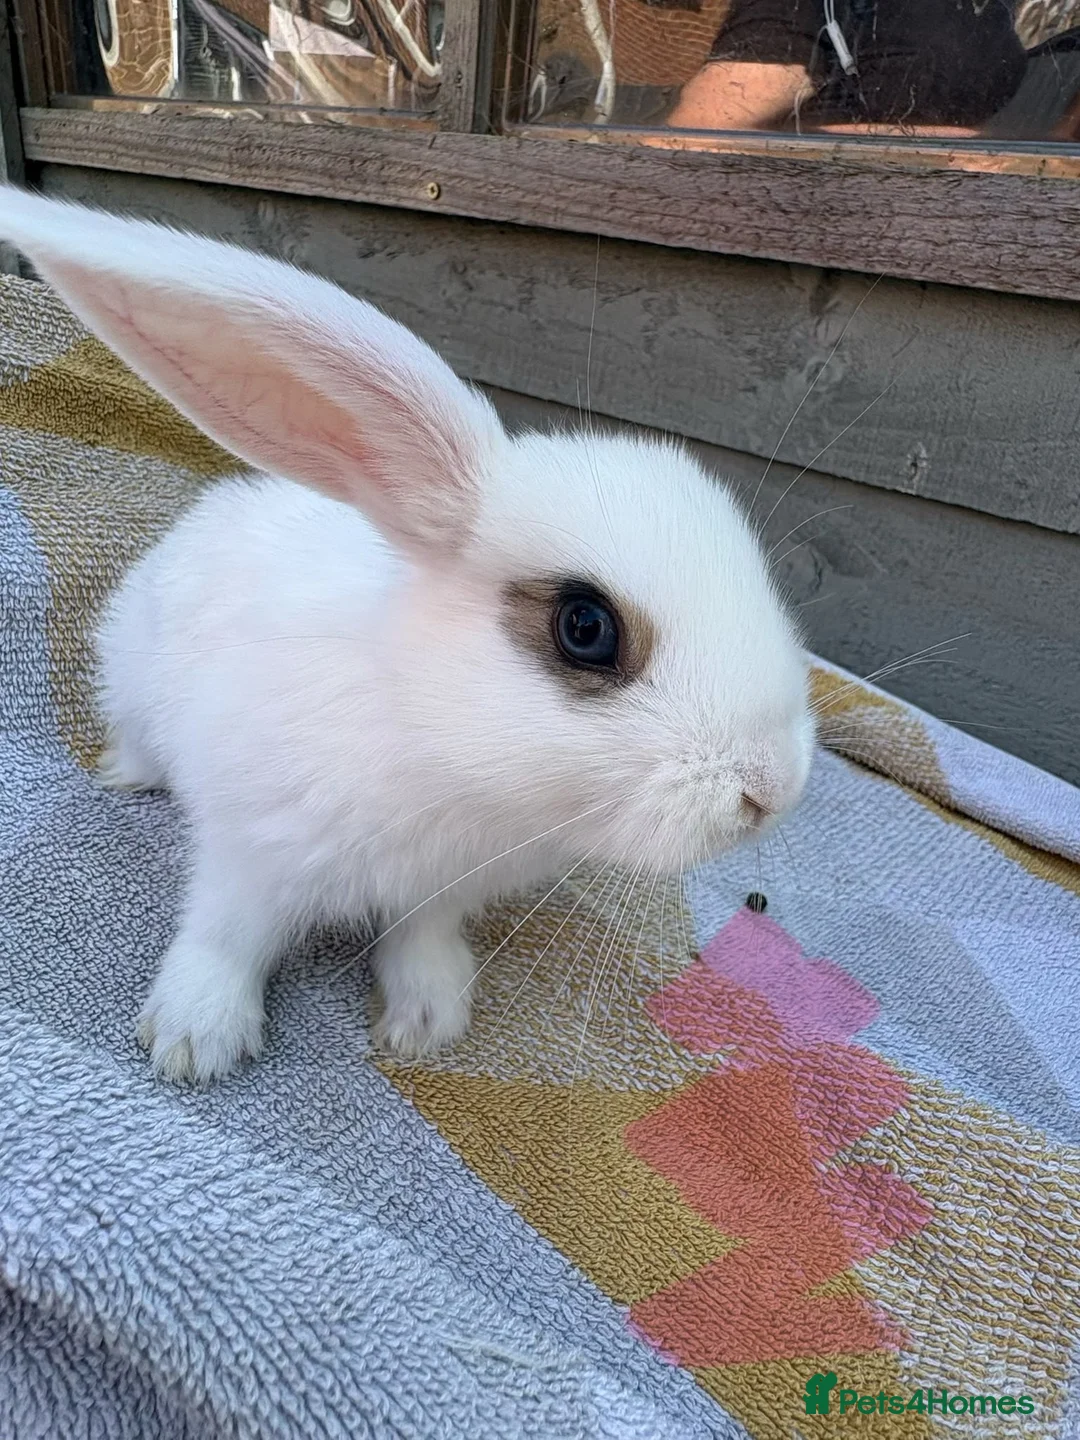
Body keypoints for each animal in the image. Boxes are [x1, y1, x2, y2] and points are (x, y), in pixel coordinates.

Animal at [0, 186, 815, 1083]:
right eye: (585, 627)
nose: (773, 791)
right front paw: (195, 1040)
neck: (439, 751)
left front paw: (428, 1021)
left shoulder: (438, 892)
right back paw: (127, 774)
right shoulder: (252, 850)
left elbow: (419, 939)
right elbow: (226, 932)